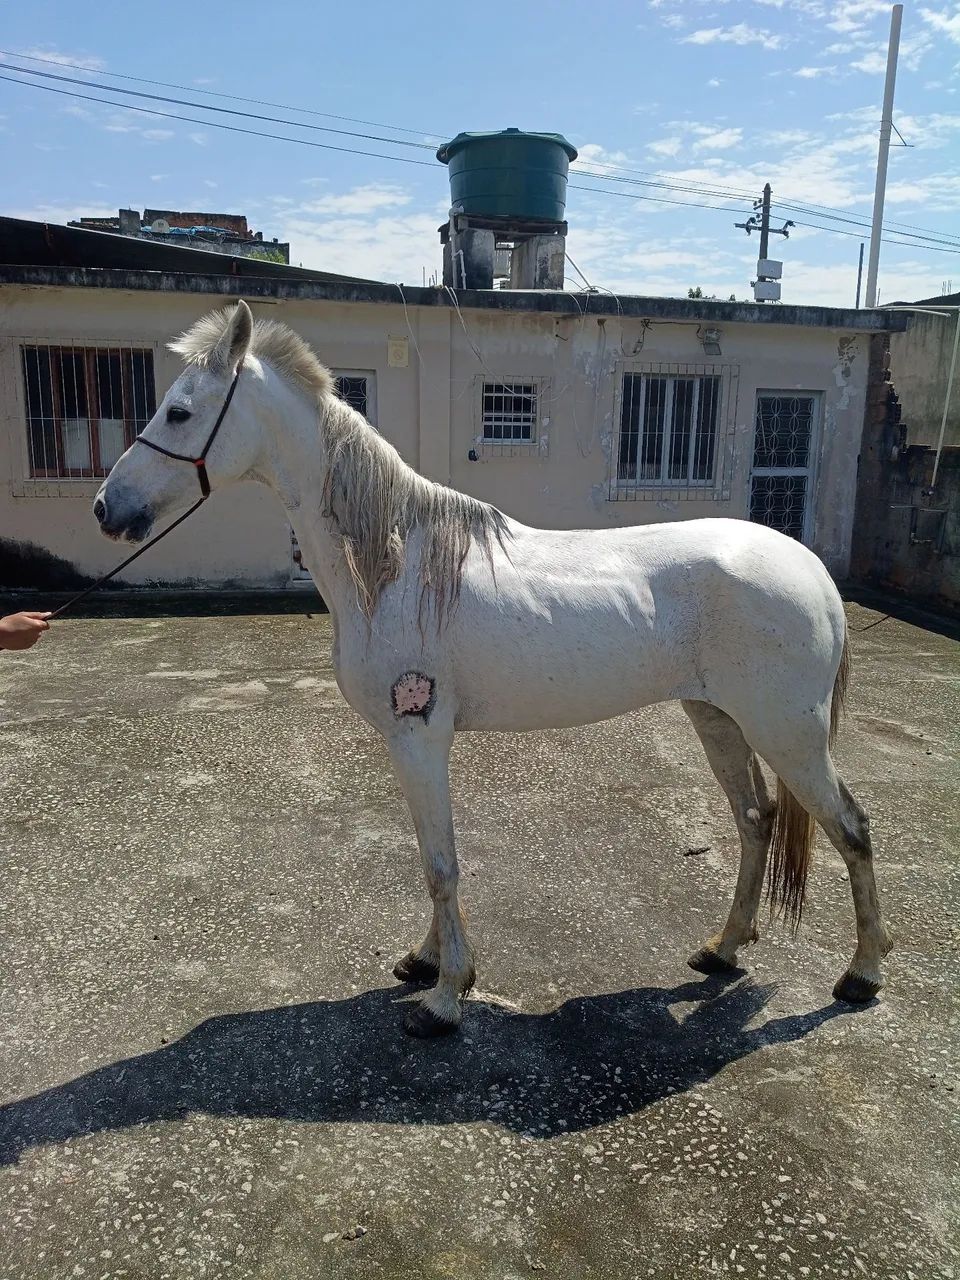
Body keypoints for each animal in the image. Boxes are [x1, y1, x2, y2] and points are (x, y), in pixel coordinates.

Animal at [94, 300, 893, 1038]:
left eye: (179, 411)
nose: (107, 508)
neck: (394, 563)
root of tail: (811, 571)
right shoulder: (412, 743)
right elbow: (431, 854)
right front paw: (424, 964)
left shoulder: (419, 737)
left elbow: (440, 866)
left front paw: (445, 999)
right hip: (718, 718)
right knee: (756, 821)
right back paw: (722, 950)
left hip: (787, 734)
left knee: (852, 828)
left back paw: (861, 975)